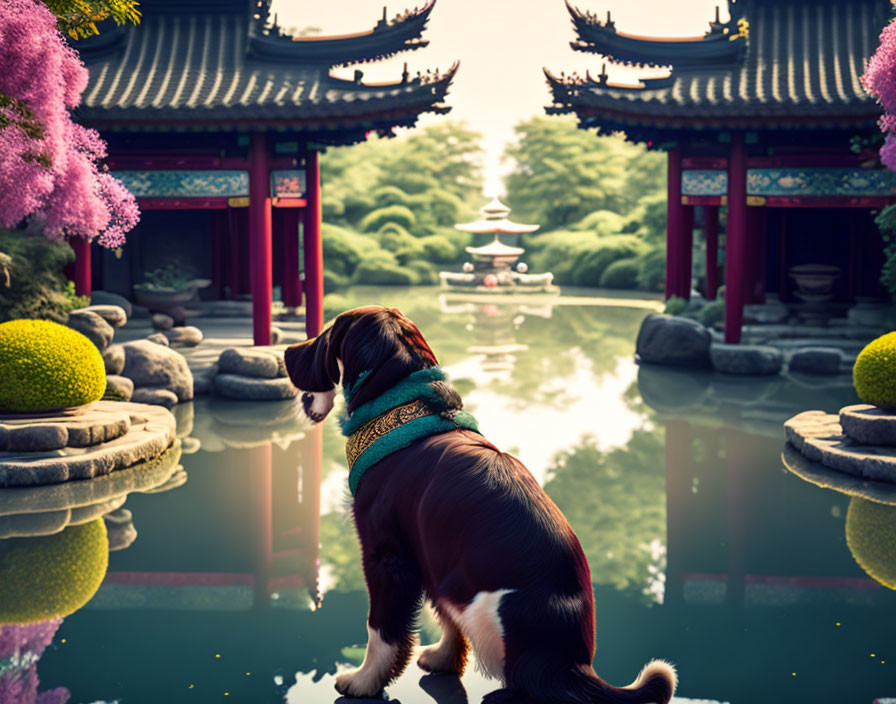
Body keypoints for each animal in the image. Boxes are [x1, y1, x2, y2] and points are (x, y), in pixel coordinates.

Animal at [284, 306, 676, 704]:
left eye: (328, 333)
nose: (286, 352)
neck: (401, 404)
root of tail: (573, 666)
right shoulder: (435, 554)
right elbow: (443, 619)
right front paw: (443, 658)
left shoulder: (387, 556)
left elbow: (381, 629)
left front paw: (364, 682)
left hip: (486, 612)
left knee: (524, 683)